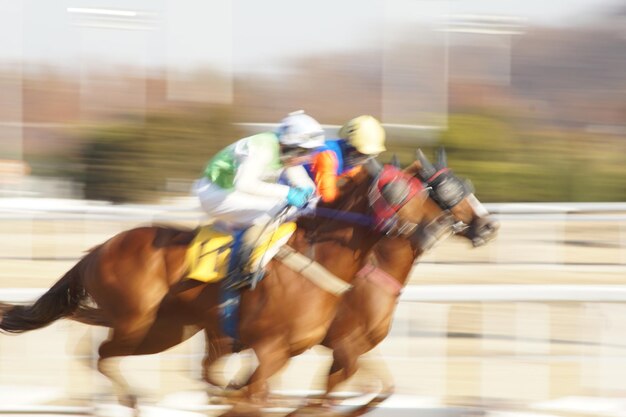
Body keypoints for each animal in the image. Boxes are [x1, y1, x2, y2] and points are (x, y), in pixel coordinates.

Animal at [0, 160, 428, 410]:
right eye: (395, 190)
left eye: (426, 194)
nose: (420, 231)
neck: (319, 258)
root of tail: (100, 248)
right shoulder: (273, 349)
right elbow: (256, 396)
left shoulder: (297, 350)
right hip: (138, 320)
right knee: (104, 353)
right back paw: (132, 399)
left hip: (165, 329)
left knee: (92, 336)